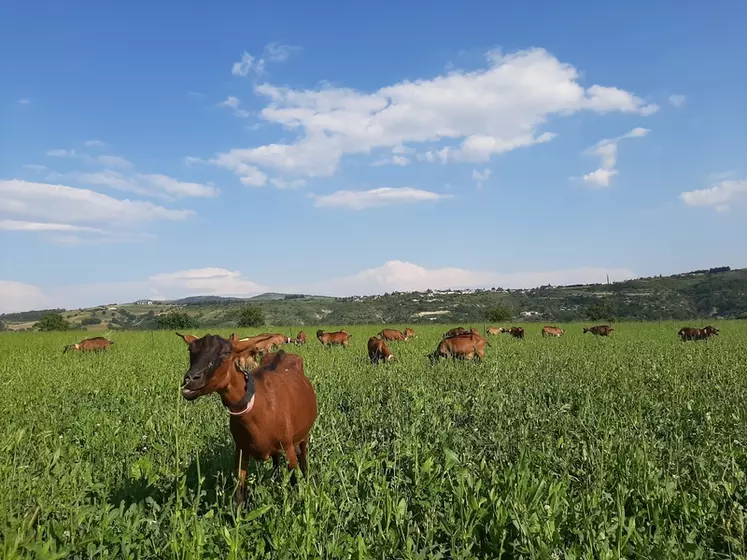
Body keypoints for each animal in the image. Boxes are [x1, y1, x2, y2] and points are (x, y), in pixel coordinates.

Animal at [177, 332, 318, 508]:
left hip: (302, 437)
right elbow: (239, 492)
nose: (190, 379)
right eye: (191, 350)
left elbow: (294, 481)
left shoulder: (288, 447)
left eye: (226, 353)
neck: (260, 403)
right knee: (276, 461)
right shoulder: (241, 449)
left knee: (303, 459)